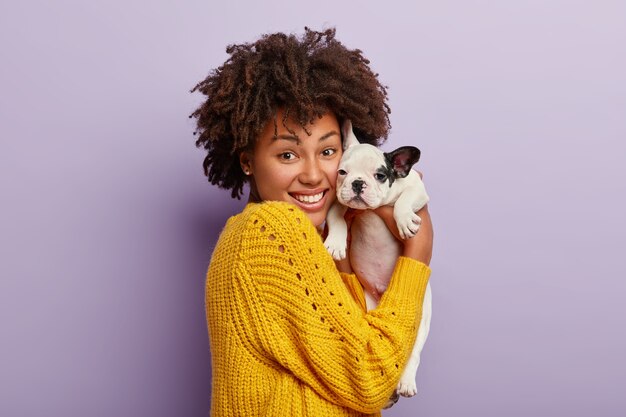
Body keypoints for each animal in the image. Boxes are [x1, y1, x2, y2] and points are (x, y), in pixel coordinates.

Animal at [324, 119, 432, 400]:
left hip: (422, 318)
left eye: (380, 175)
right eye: (342, 172)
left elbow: (404, 200)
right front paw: (336, 243)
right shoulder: (338, 201)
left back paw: (406, 382)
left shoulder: (417, 188)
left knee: (414, 353)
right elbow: (336, 217)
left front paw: (403, 220)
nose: (357, 183)